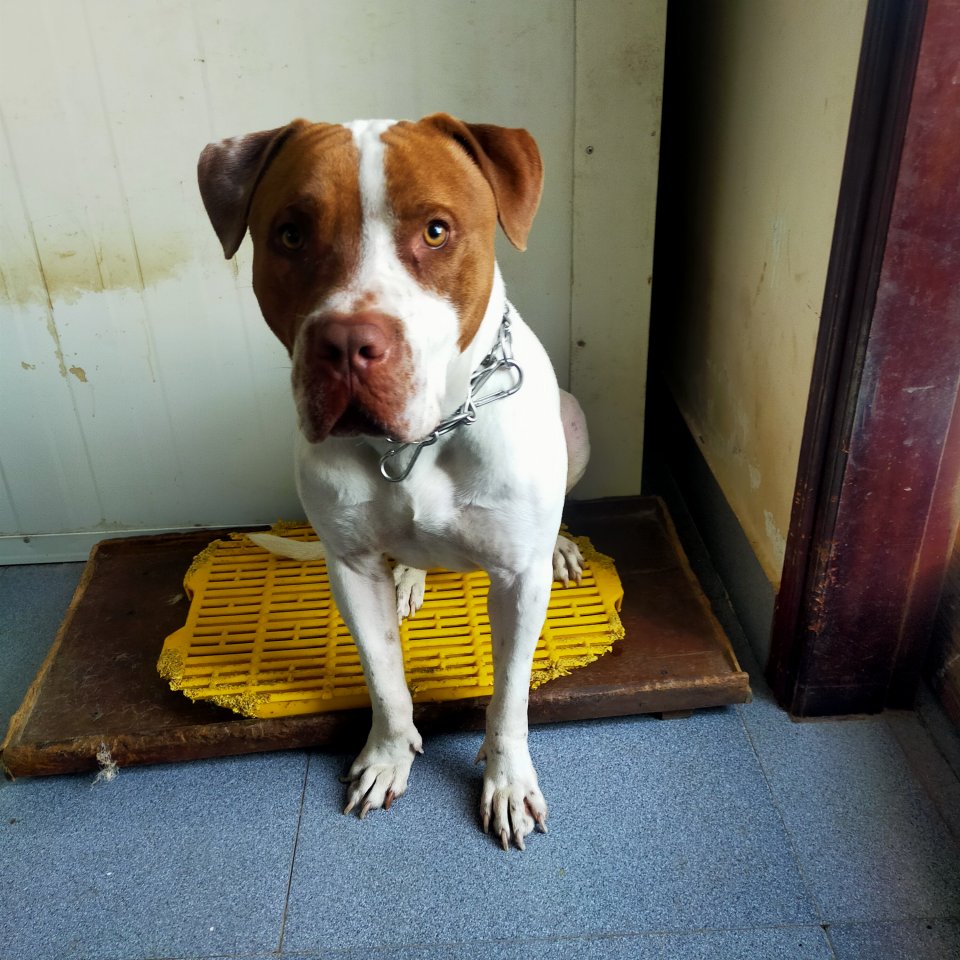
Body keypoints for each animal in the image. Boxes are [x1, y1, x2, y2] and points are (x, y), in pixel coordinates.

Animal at [197, 114, 589, 850]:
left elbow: (509, 698)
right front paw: (386, 756)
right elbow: (383, 677)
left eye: (435, 230)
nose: (348, 344)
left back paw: (559, 544)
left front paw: (508, 782)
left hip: (575, 425)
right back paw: (411, 575)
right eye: (290, 234)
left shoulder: (517, 584)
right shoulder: (350, 568)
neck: (415, 443)